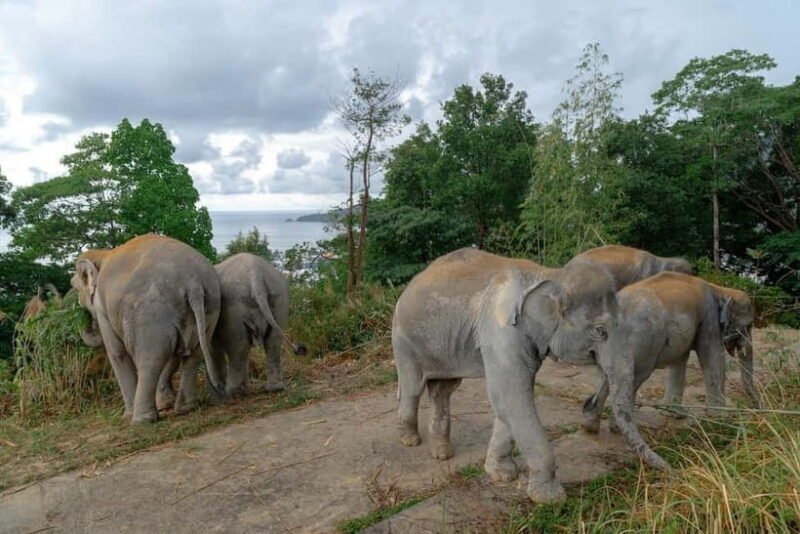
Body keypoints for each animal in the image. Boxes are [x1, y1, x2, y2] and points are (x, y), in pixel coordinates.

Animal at [71, 234, 223, 423]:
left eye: (74, 287)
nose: (79, 311)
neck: (103, 253)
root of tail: (193, 283)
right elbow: (174, 351)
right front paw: (165, 404)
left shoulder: (101, 307)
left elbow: (117, 353)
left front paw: (127, 415)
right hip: (210, 305)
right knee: (193, 354)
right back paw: (185, 409)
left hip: (151, 312)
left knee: (150, 358)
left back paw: (141, 420)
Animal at [392, 248, 667, 503]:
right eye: (601, 331)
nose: (668, 467)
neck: (551, 275)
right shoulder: (501, 332)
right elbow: (511, 397)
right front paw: (550, 498)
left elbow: (509, 401)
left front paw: (501, 474)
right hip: (403, 340)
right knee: (413, 387)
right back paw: (409, 440)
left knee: (443, 389)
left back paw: (442, 452)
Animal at [583, 272, 735, 434]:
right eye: (744, 326)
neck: (718, 288)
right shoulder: (709, 316)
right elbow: (712, 354)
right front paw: (720, 417)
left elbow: (679, 359)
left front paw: (675, 413)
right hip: (642, 344)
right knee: (635, 377)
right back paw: (617, 427)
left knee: (606, 374)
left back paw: (591, 425)